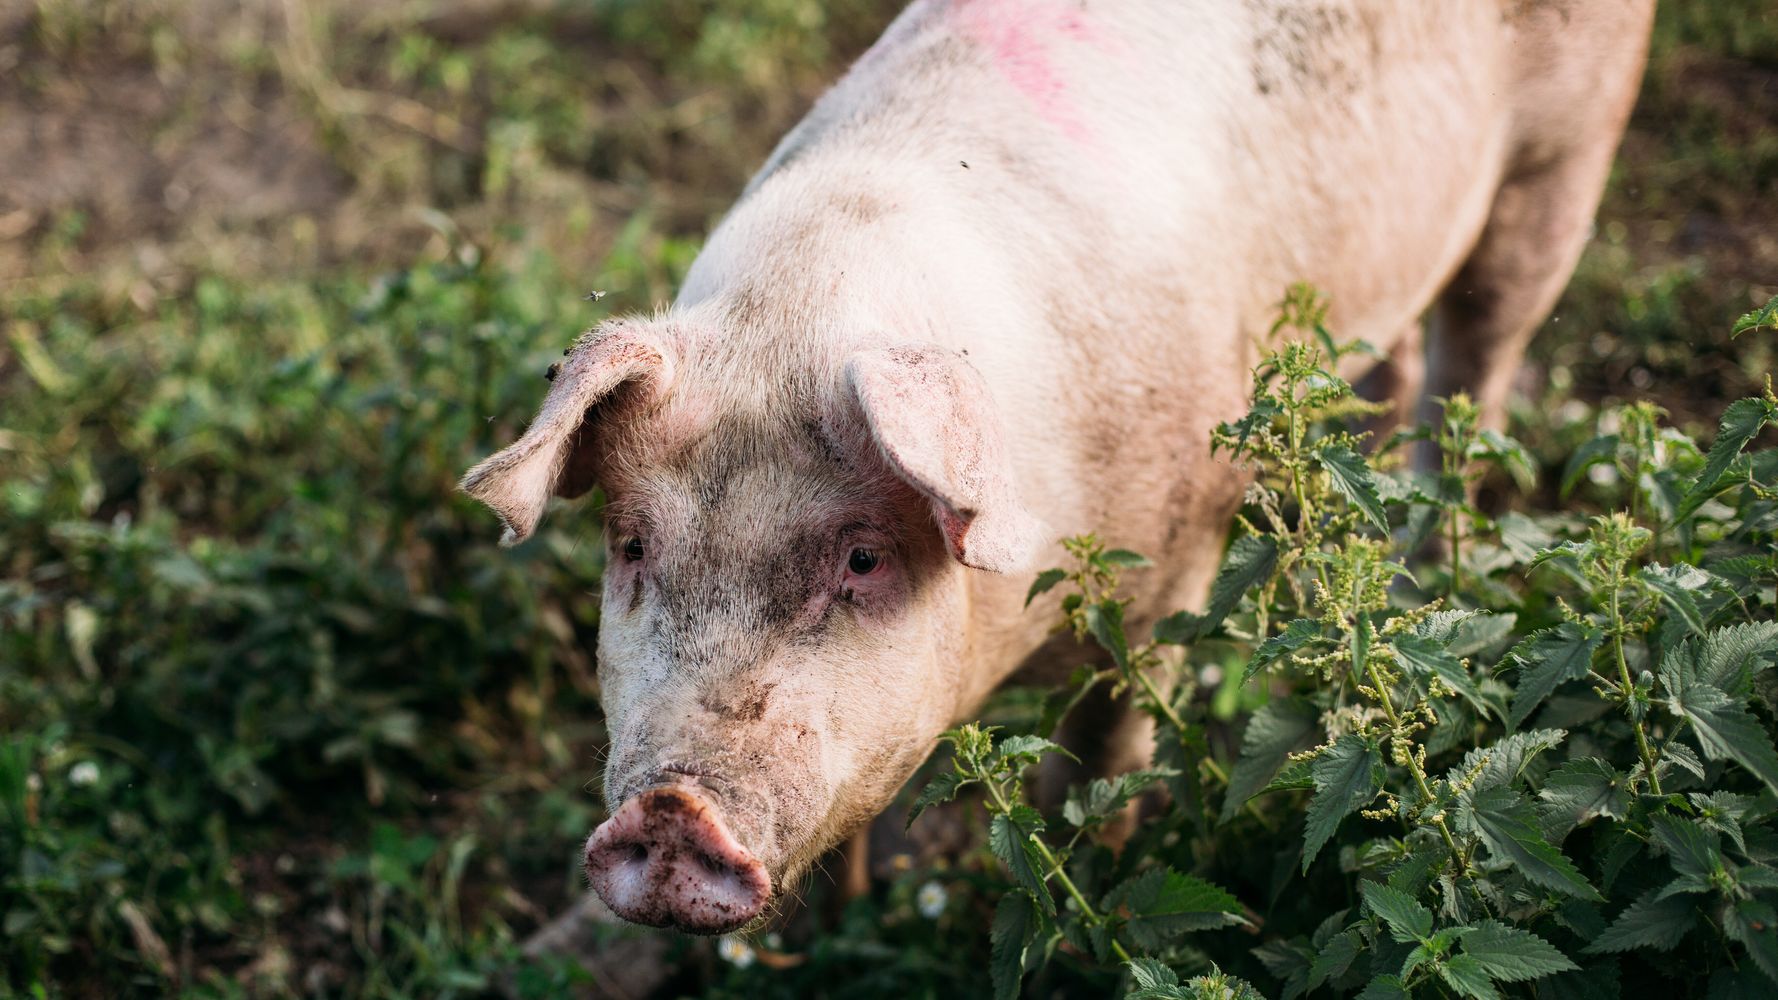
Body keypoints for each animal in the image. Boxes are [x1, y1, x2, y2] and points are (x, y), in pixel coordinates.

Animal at [458, 0, 1649, 932]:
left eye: (861, 559)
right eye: (631, 545)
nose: (668, 810)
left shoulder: (1173, 557)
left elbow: (1103, 747)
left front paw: (1096, 891)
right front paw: (850, 920)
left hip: (1568, 150)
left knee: (1478, 360)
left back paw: (1417, 577)